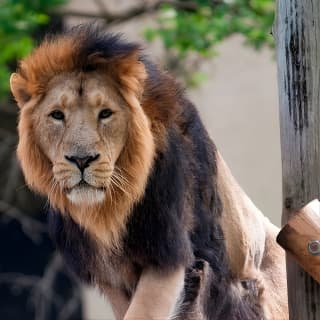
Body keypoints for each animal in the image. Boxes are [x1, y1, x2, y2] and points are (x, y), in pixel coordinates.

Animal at [10, 25, 288, 320]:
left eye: (106, 114)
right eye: (57, 115)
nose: (81, 159)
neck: (108, 212)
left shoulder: (168, 254)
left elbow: (144, 312)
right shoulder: (111, 276)